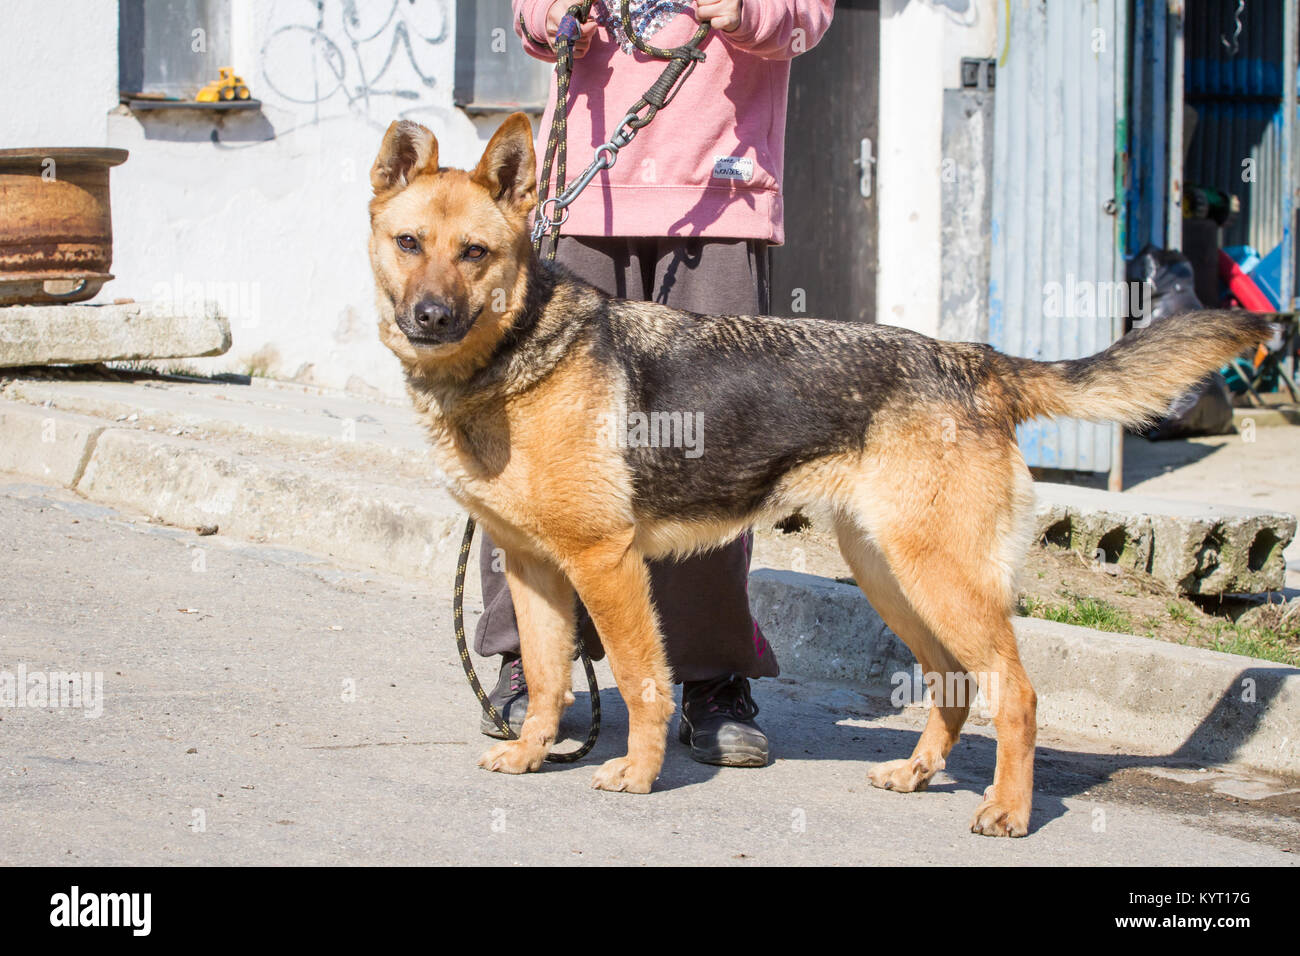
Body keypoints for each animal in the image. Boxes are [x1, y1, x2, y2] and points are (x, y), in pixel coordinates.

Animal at [366, 113, 1268, 837]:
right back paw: (919, 774)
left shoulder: (605, 562)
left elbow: (641, 677)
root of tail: (974, 360)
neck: (517, 350)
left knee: (1015, 693)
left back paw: (1009, 810)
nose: (430, 319)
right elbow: (551, 676)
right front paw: (530, 751)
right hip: (894, 575)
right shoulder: (536, 569)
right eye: (409, 244)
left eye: (475, 254)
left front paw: (639, 774)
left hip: (939, 577)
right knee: (953, 685)